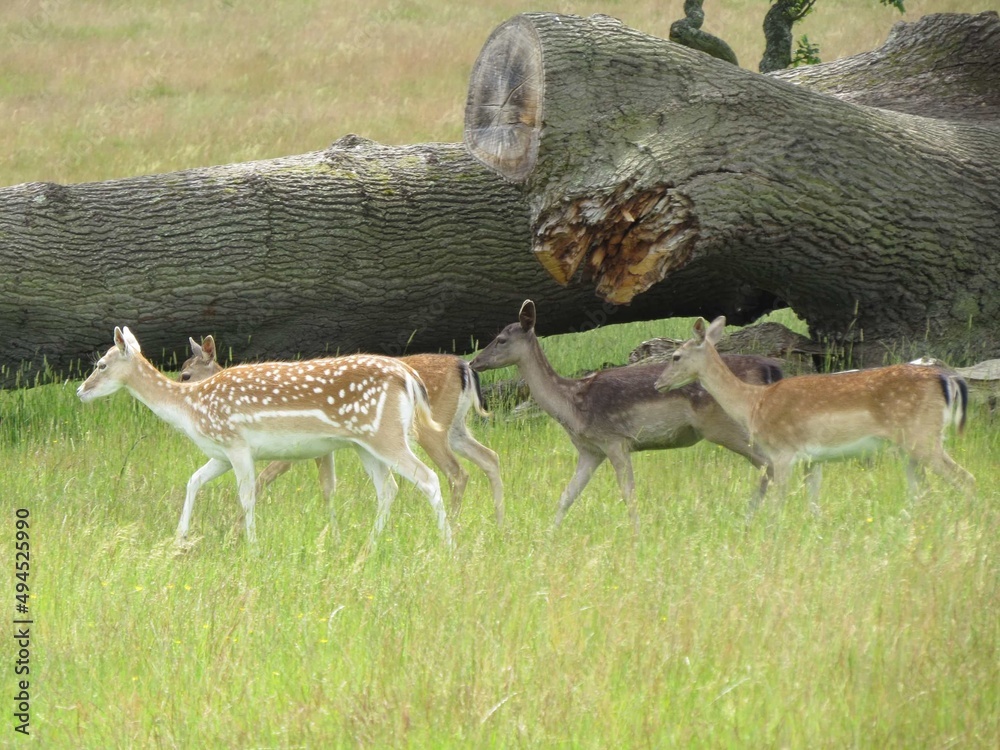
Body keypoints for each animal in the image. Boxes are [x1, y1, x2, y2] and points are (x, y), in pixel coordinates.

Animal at [76, 328, 452, 548]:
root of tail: (408, 375)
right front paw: (180, 538)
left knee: (429, 478)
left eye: (101, 365)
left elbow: (247, 495)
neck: (191, 408)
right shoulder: (221, 453)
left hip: (386, 435)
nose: (80, 391)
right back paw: (368, 547)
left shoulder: (236, 443)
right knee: (388, 489)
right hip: (366, 444)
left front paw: (253, 547)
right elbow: (193, 480)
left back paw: (448, 546)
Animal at [181, 338, 504, 524]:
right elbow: (327, 487)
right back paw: (498, 522)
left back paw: (454, 523)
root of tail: (465, 366)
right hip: (456, 427)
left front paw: (236, 526)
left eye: (185, 374)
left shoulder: (288, 448)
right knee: (489, 457)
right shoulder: (321, 448)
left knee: (456, 473)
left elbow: (263, 479)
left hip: (429, 429)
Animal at [464, 300, 784, 536]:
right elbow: (567, 495)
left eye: (501, 339)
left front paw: (637, 536)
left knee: (769, 465)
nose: (474, 361)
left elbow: (628, 493)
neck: (571, 405)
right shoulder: (590, 450)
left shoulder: (615, 439)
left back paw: (756, 522)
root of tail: (770, 368)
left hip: (725, 425)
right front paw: (547, 536)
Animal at [656, 314, 976, 520]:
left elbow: (777, 505)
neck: (753, 404)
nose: (658, 384)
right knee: (922, 491)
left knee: (965, 477)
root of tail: (947, 379)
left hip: (922, 435)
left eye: (675, 356)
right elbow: (813, 505)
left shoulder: (781, 452)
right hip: (914, 444)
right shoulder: (813, 459)